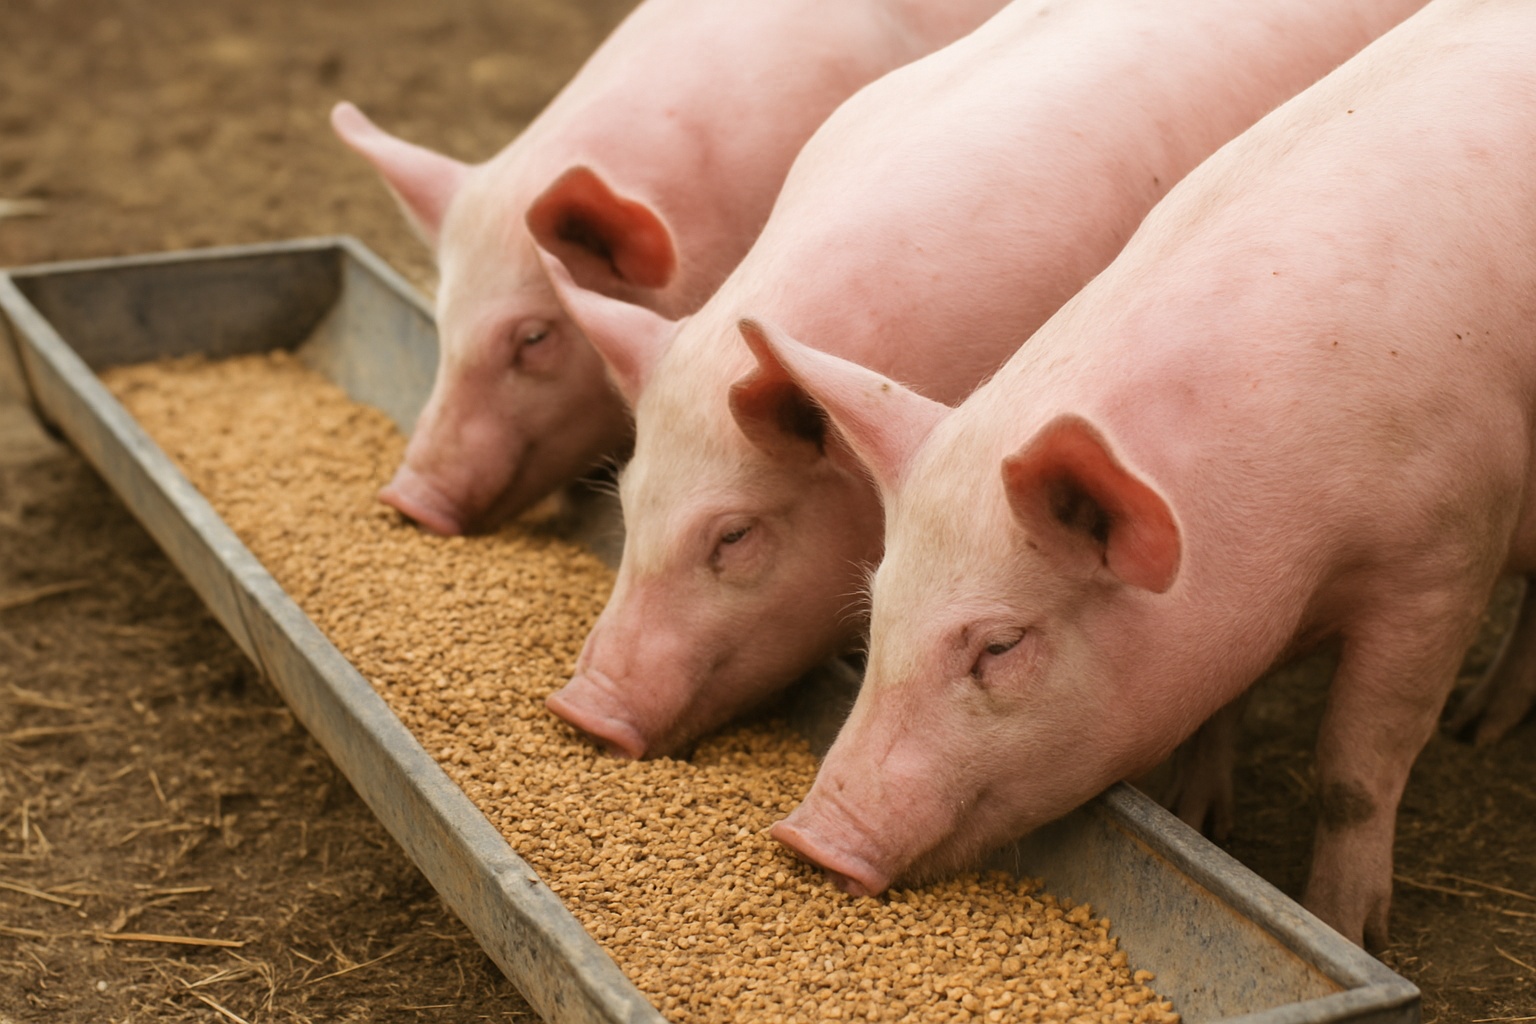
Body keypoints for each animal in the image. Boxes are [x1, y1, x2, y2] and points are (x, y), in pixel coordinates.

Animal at [766, 0, 1536, 950]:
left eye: (1001, 645)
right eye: (878, 616)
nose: (807, 839)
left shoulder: (1447, 554)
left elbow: (1354, 775)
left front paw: (1344, 928)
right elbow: (1217, 712)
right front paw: (1200, 820)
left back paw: (1476, 734)